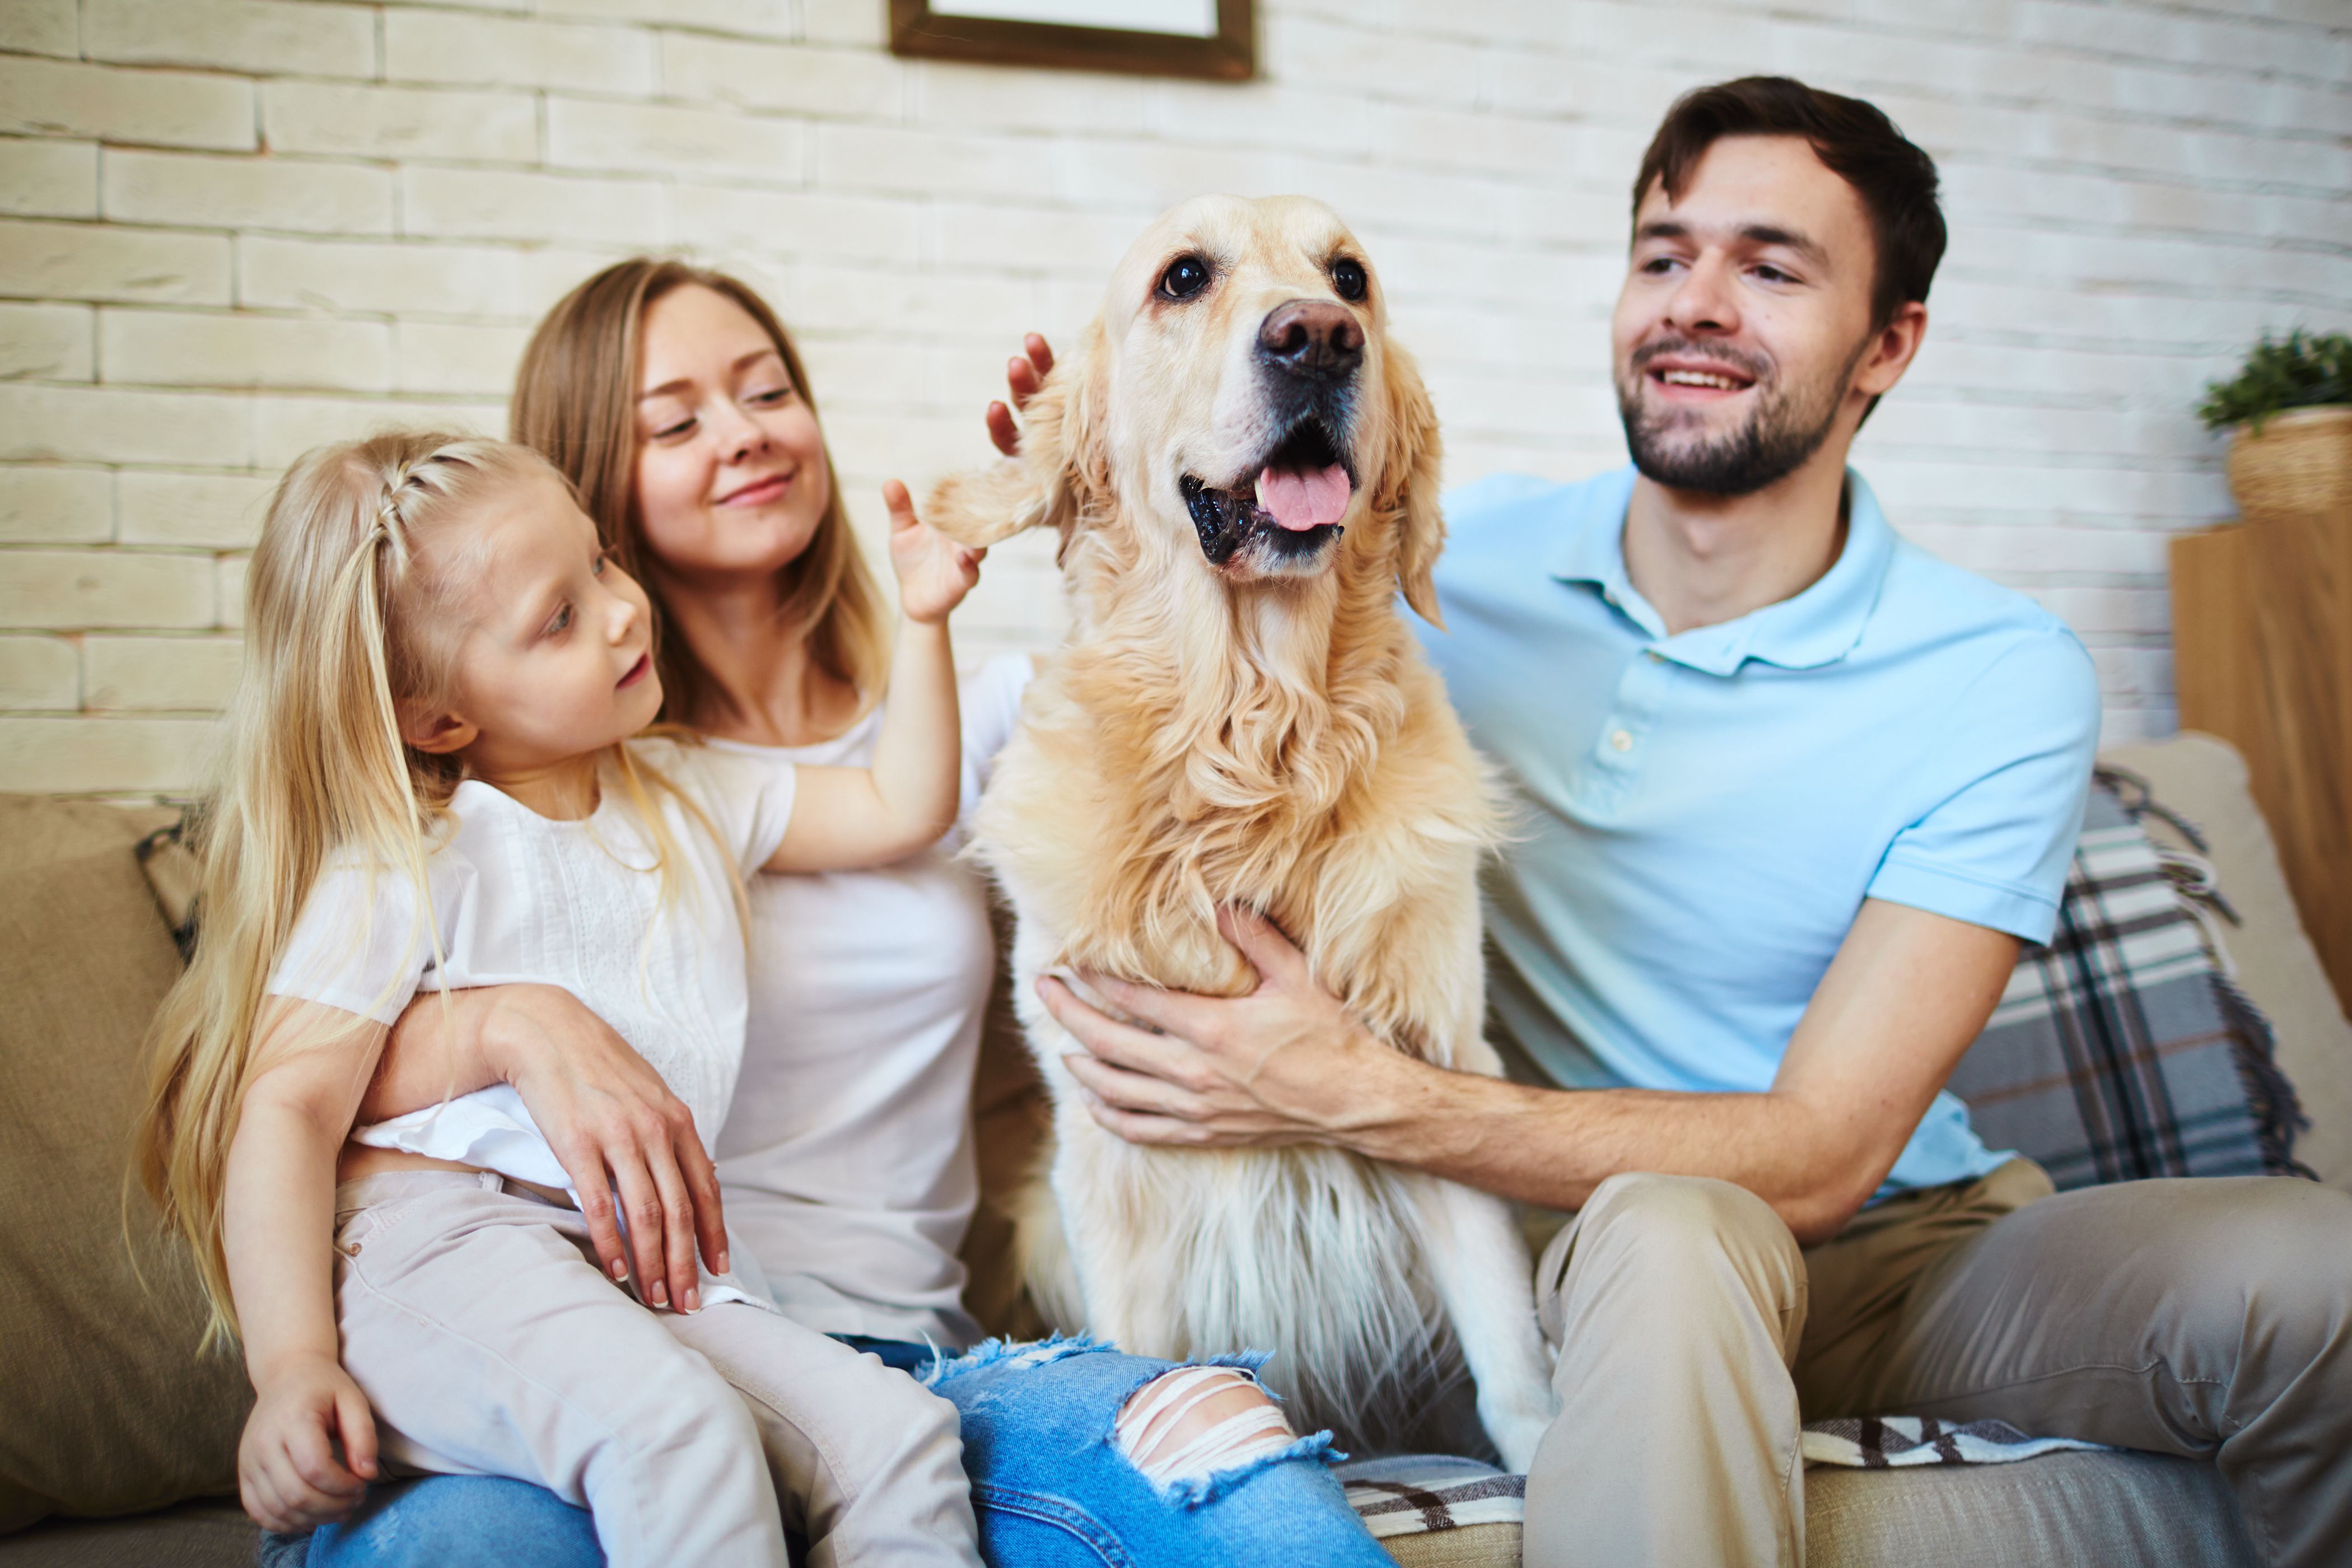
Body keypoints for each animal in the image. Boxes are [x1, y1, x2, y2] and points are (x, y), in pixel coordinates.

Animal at [936, 196, 1561, 1476]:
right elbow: (1136, 1345)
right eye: (1184, 277)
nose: (1318, 338)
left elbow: (1510, 1350)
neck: (1254, 740)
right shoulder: (1107, 1151)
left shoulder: (1439, 1068)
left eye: (1351, 278)